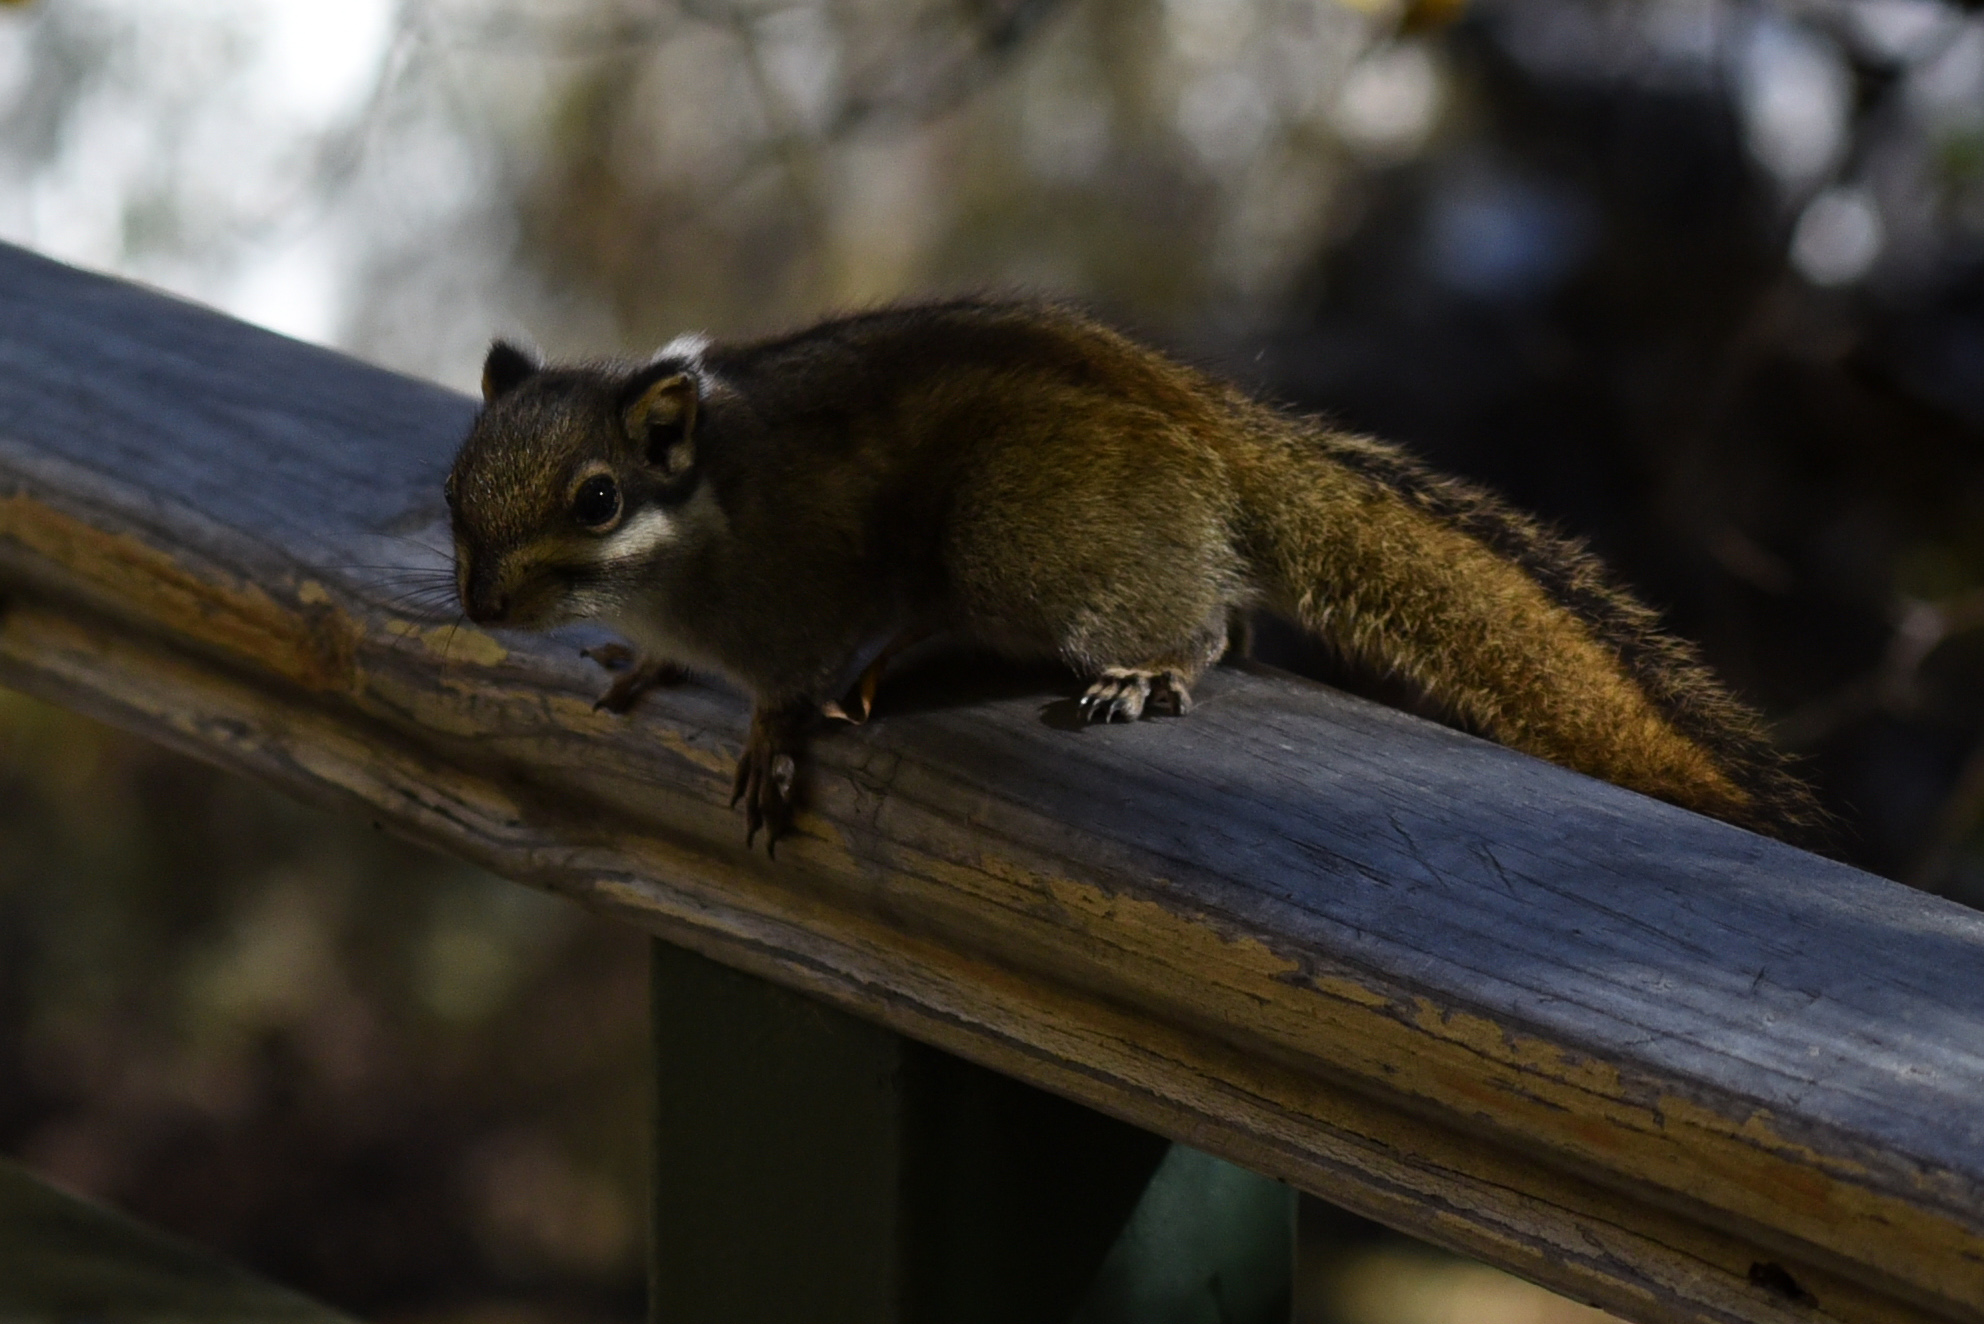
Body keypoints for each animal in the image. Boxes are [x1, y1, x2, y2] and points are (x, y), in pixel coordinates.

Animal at [442, 297, 1817, 849]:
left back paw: (1142, 667)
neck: (698, 535)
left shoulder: (804, 585)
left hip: (1018, 538)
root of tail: (1220, 441)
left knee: (1203, 625)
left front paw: (771, 740)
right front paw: (645, 666)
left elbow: (786, 682)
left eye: (597, 499)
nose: (481, 603)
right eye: (457, 487)